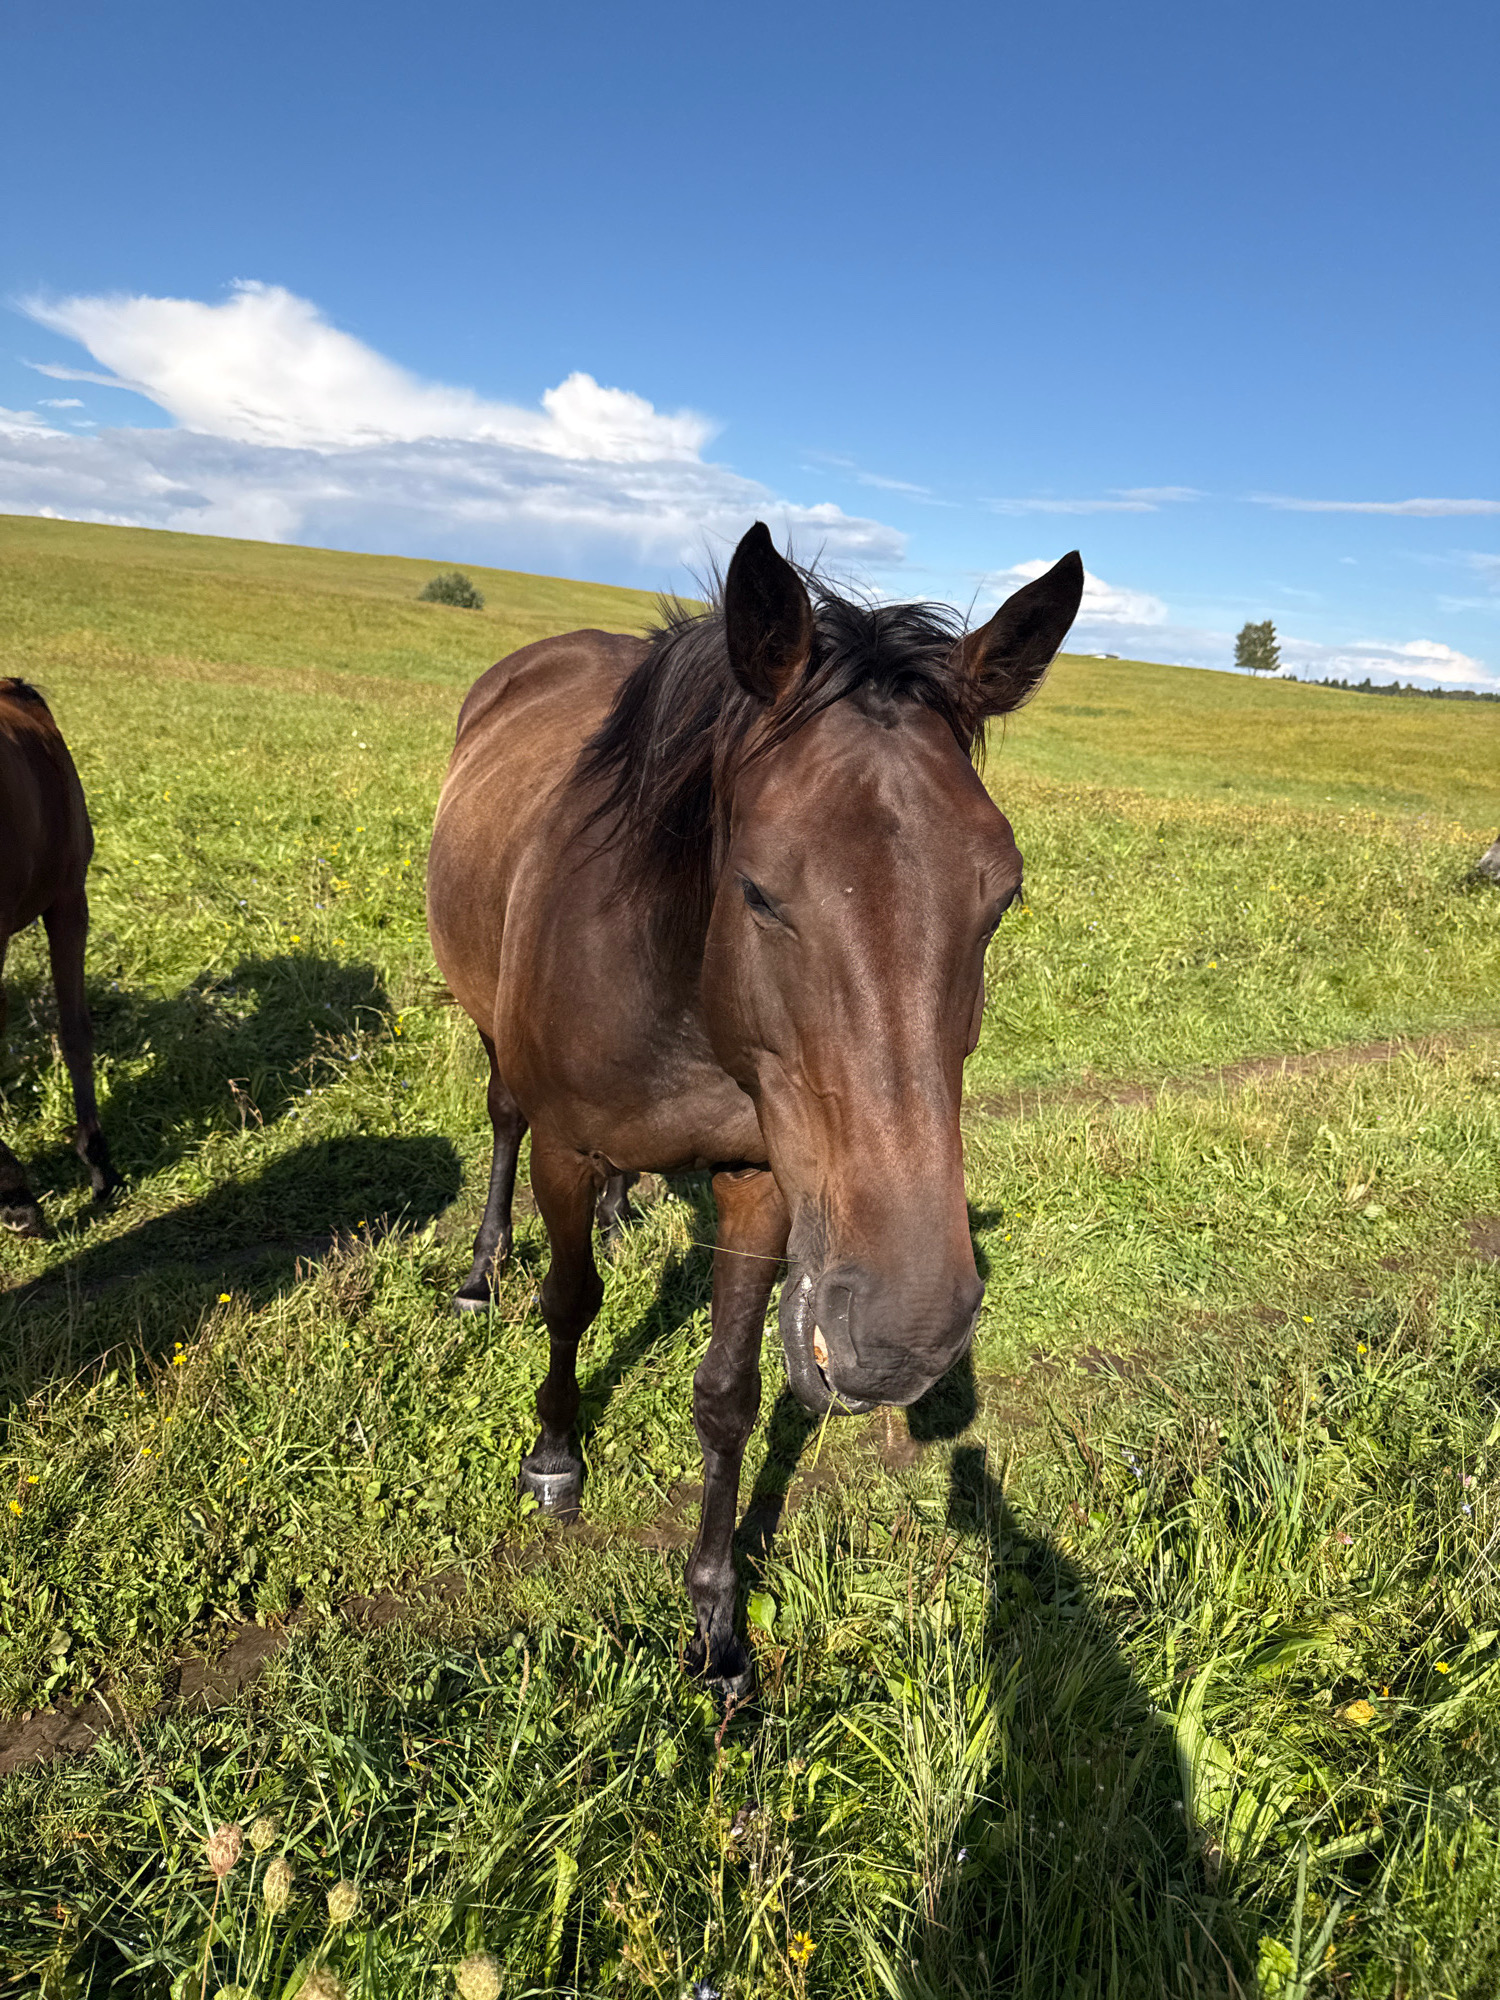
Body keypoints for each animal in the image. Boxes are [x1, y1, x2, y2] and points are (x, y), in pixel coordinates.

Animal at [427, 524, 1082, 1691]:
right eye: (760, 889)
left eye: (1000, 895)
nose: (907, 1333)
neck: (673, 978)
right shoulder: (565, 1149)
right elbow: (571, 1303)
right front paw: (554, 1456)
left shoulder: (764, 1180)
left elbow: (727, 1392)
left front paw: (717, 1619)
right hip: (496, 1037)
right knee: (501, 1118)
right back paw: (482, 1268)